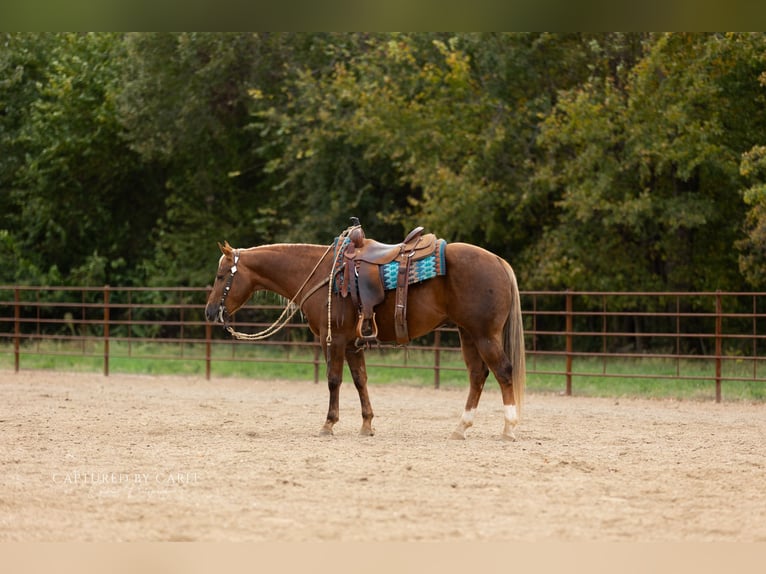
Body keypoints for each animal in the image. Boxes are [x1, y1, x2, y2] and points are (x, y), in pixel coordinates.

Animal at [204, 227, 526, 440]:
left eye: (220, 276)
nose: (209, 312)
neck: (320, 273)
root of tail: (499, 261)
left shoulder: (332, 339)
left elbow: (334, 380)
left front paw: (329, 424)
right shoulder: (352, 343)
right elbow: (360, 380)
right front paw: (367, 424)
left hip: (484, 334)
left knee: (503, 371)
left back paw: (509, 427)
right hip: (468, 333)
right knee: (477, 375)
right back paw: (461, 427)